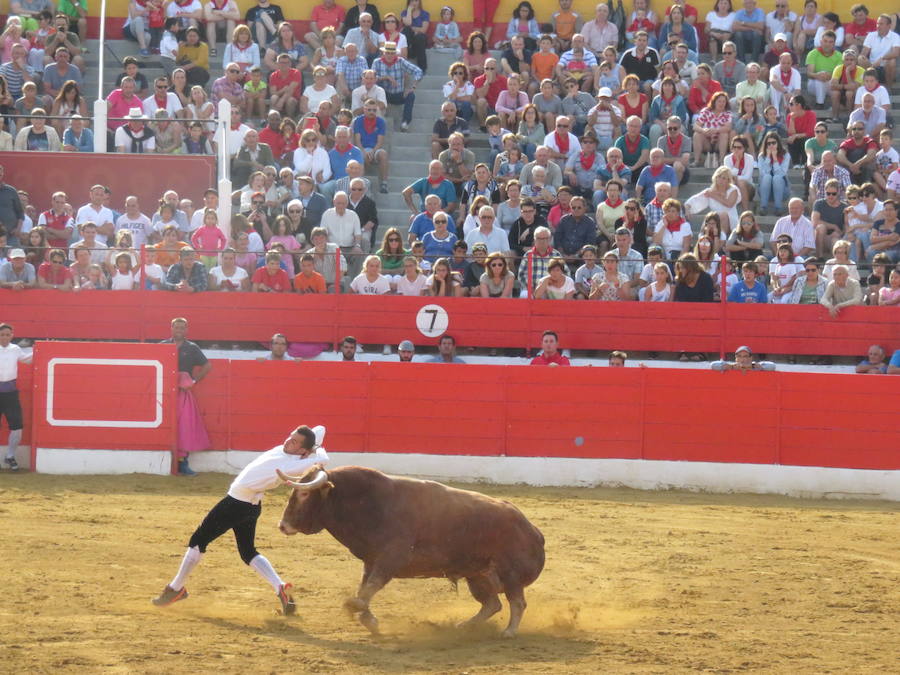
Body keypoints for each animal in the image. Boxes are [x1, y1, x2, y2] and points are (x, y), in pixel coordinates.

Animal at [274, 464, 544, 640]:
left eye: (304, 493)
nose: (282, 525)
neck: (367, 503)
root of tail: (533, 530)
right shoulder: (372, 560)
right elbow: (365, 588)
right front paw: (368, 619)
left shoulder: (391, 557)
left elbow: (369, 588)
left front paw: (355, 608)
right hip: (477, 575)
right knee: (492, 604)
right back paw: (463, 626)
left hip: (509, 574)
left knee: (517, 602)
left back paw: (509, 631)